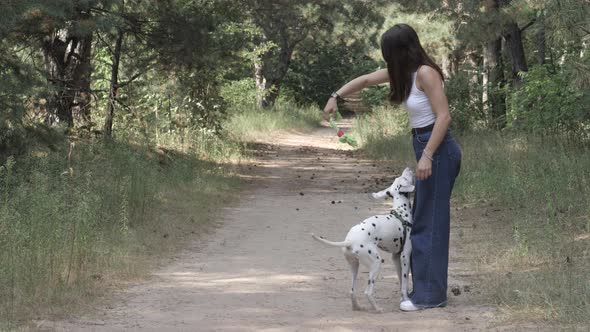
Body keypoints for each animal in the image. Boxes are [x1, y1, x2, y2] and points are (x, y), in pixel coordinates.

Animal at [312, 167, 414, 312]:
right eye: (404, 178)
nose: (408, 168)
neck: (401, 212)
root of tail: (350, 241)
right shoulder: (405, 256)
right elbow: (404, 282)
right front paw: (405, 299)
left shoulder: (395, 257)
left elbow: (401, 281)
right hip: (376, 263)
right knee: (368, 292)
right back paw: (377, 309)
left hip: (354, 266)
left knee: (352, 291)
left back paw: (357, 307)